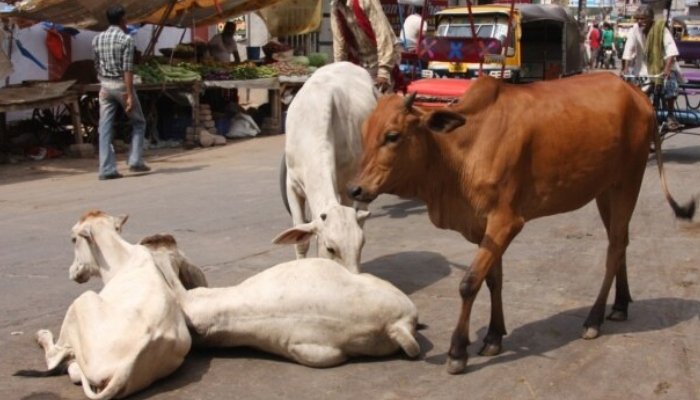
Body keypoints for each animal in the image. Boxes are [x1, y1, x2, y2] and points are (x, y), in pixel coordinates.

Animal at [21, 211, 192, 399]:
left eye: (73, 239)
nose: (72, 272)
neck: (121, 257)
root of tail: (125, 367)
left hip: (82, 301)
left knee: (55, 357)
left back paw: (43, 336)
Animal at [348, 74, 696, 374]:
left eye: (392, 136)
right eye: (363, 133)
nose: (355, 189)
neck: (462, 150)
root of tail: (639, 95)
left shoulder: (507, 221)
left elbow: (469, 283)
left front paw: (458, 351)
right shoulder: (485, 226)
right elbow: (493, 280)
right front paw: (493, 337)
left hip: (628, 181)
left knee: (614, 248)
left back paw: (594, 320)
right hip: (604, 190)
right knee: (620, 240)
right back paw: (621, 305)